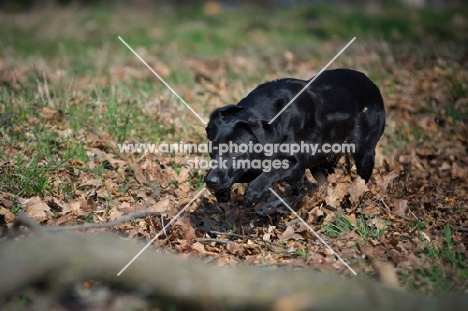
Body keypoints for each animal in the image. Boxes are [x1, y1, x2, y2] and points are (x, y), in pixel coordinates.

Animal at [205, 69, 384, 208]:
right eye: (211, 150)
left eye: (235, 149)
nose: (210, 181)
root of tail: (371, 83)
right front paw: (222, 192)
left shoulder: (296, 165)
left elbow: (273, 171)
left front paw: (253, 193)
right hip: (320, 163)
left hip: (364, 152)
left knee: (363, 179)